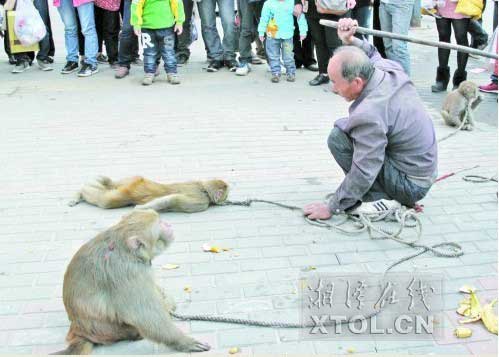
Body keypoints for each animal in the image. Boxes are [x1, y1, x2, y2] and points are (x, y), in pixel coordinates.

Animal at [52, 209, 211, 354]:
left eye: (160, 219)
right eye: (160, 223)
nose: (168, 224)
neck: (128, 251)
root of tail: (79, 331)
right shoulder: (127, 273)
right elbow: (146, 316)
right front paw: (184, 341)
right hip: (114, 331)